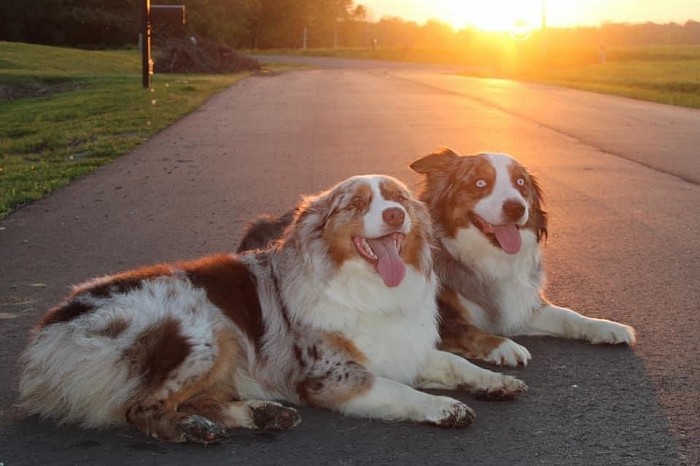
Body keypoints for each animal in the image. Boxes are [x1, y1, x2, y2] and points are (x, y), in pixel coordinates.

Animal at [19, 173, 524, 442]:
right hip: (206, 330)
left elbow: (456, 363)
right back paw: (194, 429)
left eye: (399, 199)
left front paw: (495, 379)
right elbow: (403, 393)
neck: (369, 290)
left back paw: (263, 414)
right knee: (140, 408)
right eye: (358, 203)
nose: (396, 215)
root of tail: (50, 333)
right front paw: (446, 408)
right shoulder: (335, 378)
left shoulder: (404, 350)